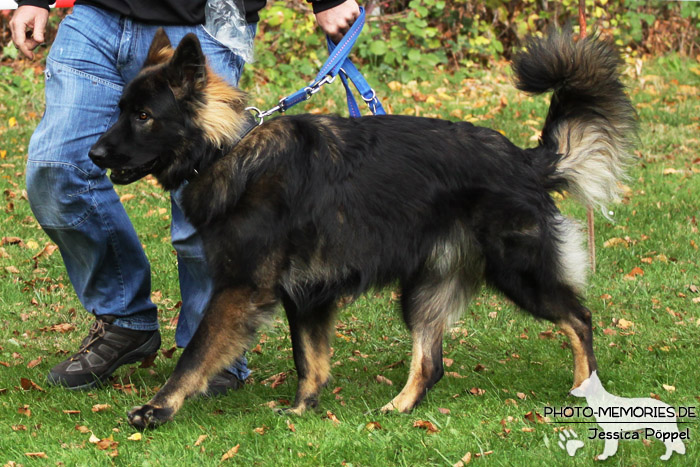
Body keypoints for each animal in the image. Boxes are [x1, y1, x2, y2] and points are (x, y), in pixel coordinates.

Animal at [86, 24, 636, 428]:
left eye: (143, 115)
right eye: (121, 110)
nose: (92, 154)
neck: (229, 150)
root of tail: (525, 160)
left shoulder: (240, 290)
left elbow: (197, 352)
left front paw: (159, 408)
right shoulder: (306, 295)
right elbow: (309, 360)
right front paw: (302, 410)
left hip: (519, 274)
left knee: (580, 318)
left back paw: (586, 388)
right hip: (422, 293)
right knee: (431, 364)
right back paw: (398, 408)